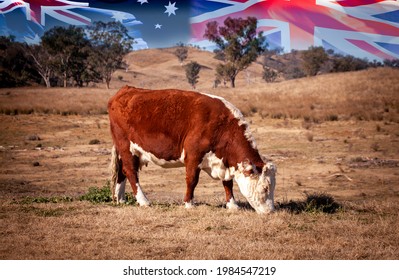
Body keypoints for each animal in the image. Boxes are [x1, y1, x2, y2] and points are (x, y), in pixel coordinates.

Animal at [109, 86, 278, 213]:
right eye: (265, 188)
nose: (271, 211)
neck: (222, 126)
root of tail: (126, 90)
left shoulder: (224, 161)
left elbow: (227, 183)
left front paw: (232, 205)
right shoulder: (193, 156)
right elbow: (192, 180)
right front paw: (189, 203)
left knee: (122, 171)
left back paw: (120, 199)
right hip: (126, 147)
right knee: (131, 172)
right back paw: (143, 201)